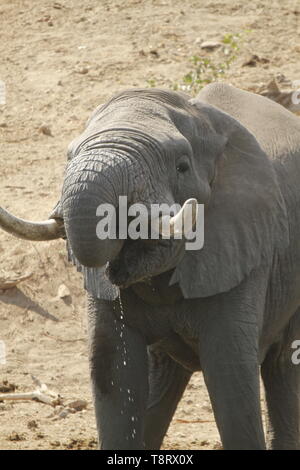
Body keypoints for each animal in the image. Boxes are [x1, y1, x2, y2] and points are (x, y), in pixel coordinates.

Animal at [1, 82, 300, 450]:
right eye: (69, 157)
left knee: (282, 366)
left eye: (182, 166)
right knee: (161, 374)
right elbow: (114, 369)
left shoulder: (243, 249)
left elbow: (228, 375)